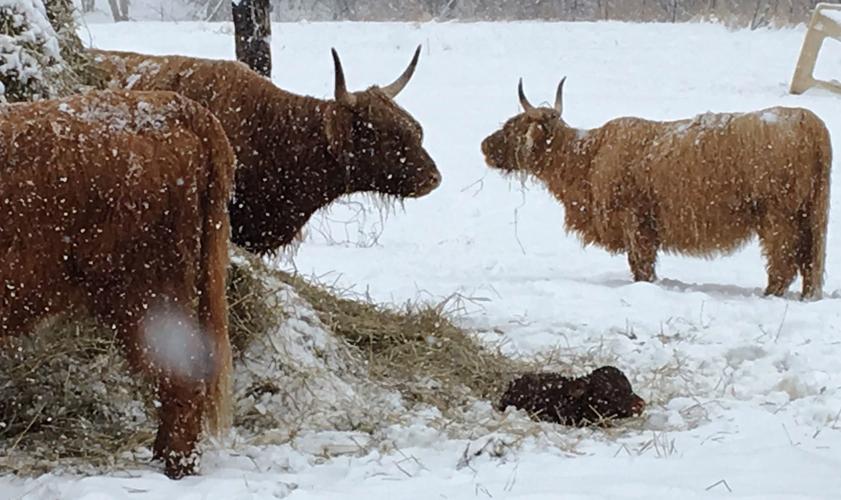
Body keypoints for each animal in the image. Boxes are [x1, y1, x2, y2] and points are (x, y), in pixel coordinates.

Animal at [482, 79, 832, 299]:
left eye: (513, 127)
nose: (484, 145)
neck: (587, 159)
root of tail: (808, 120)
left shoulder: (634, 219)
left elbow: (641, 264)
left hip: (779, 216)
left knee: (784, 260)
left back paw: (768, 294)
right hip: (809, 214)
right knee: (808, 261)